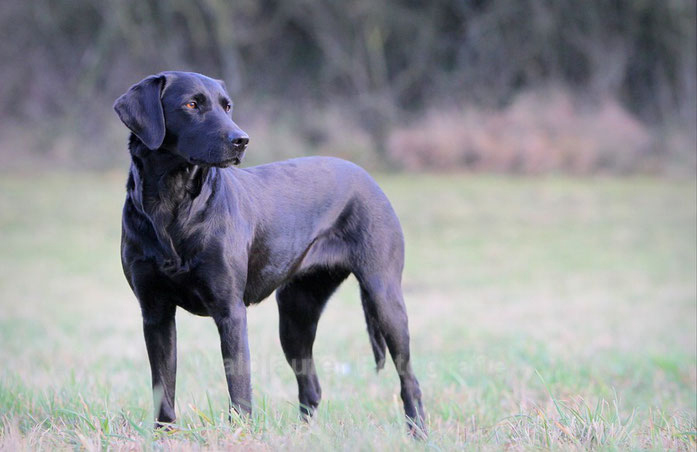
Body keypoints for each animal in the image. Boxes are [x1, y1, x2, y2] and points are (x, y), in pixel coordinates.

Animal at [113, 70, 424, 434]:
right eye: (191, 105)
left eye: (227, 106)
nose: (241, 140)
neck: (171, 203)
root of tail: (366, 175)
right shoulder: (155, 312)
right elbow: (163, 384)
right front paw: (163, 436)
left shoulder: (230, 311)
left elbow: (238, 385)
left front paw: (240, 434)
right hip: (295, 313)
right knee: (311, 385)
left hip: (384, 296)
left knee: (408, 378)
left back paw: (418, 433)